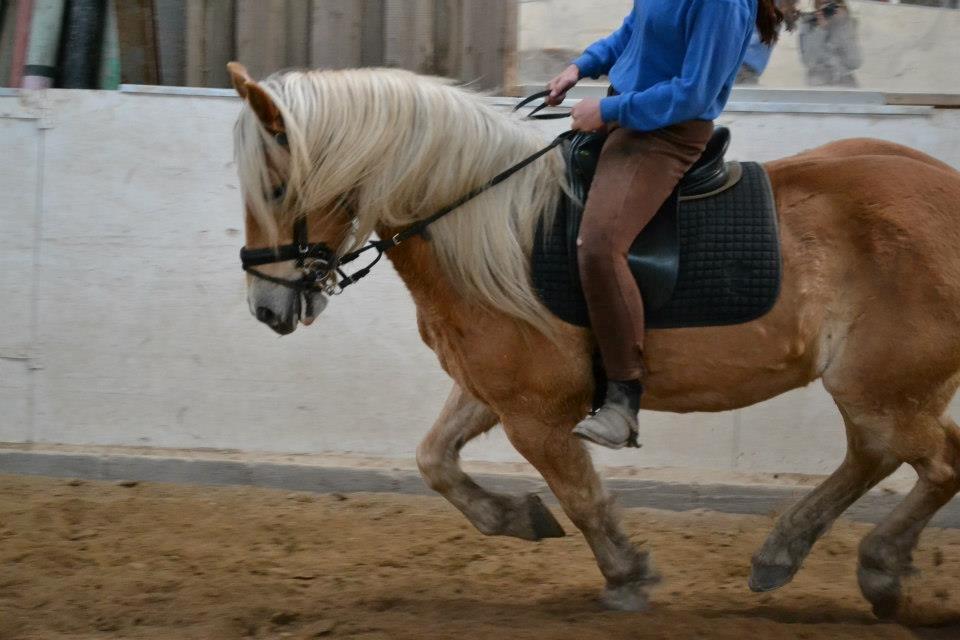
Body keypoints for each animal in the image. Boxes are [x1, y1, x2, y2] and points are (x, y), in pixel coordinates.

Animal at [227, 62, 960, 616]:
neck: (489, 228)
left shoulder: (536, 412)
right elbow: (433, 460)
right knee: (880, 455)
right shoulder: (490, 389)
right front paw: (518, 518)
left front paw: (627, 573)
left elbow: (579, 495)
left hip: (883, 386)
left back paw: (876, 566)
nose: (266, 308)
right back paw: (795, 554)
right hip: (883, 387)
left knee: (937, 461)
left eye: (278, 187)